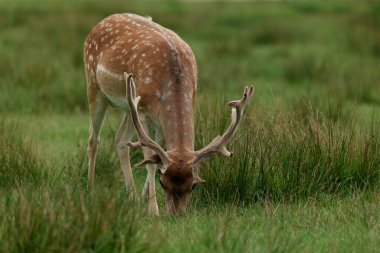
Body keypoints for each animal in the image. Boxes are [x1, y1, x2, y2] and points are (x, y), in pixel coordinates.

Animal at [84, 13, 254, 215]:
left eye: (193, 185)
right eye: (162, 183)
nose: (175, 215)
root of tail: (101, 22)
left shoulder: (161, 117)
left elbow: (155, 158)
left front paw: (145, 200)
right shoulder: (142, 110)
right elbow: (150, 160)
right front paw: (153, 210)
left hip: (127, 106)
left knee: (120, 139)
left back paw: (133, 197)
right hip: (94, 86)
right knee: (94, 139)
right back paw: (91, 189)